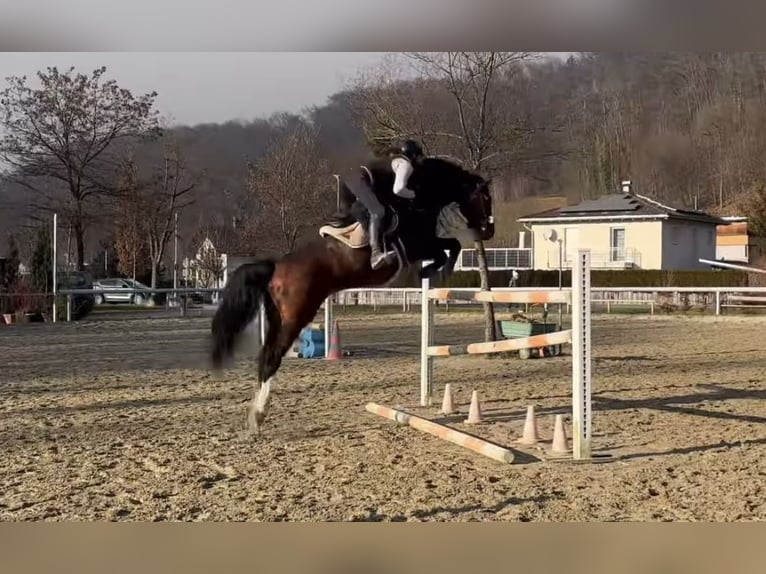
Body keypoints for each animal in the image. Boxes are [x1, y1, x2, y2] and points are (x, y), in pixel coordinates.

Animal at [210, 156, 494, 433]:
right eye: (485, 198)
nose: (488, 232)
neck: (421, 196)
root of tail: (276, 267)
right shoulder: (418, 244)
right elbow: (450, 247)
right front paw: (435, 270)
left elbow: (449, 246)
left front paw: (432, 270)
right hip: (296, 316)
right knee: (272, 357)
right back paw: (258, 416)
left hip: (278, 316)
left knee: (266, 355)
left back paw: (256, 413)